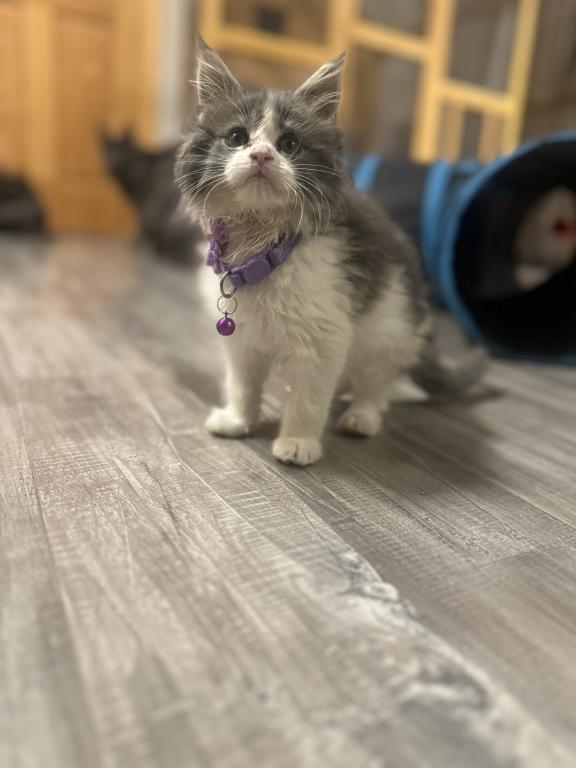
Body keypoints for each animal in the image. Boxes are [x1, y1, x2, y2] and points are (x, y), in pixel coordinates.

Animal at [101, 131, 202, 264]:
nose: (112, 159)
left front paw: (139, 244)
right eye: (107, 149)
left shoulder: (142, 200)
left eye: (121, 151)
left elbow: (142, 225)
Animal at [175, 39, 484, 466]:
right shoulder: (242, 341)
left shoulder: (322, 338)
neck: (262, 242)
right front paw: (238, 420)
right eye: (237, 137)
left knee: (378, 383)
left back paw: (360, 416)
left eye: (289, 144)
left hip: (389, 329)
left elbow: (307, 399)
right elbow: (242, 384)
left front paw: (298, 442)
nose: (261, 155)